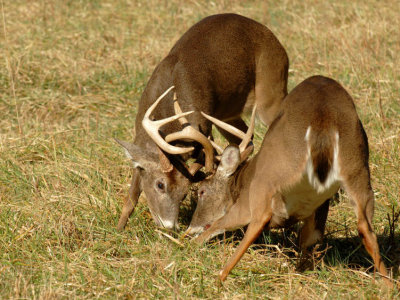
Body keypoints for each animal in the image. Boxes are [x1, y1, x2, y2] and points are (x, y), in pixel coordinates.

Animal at [115, 13, 288, 230]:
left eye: (184, 193)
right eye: (160, 184)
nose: (168, 226)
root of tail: (274, 38)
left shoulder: (204, 130)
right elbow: (132, 193)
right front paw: (118, 229)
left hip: (272, 91)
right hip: (229, 114)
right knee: (247, 139)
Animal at [187, 75, 390, 286]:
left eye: (202, 191)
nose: (190, 228)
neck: (240, 181)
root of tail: (322, 120)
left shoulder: (244, 202)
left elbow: (218, 225)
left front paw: (187, 245)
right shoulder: (318, 207)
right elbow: (309, 240)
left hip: (270, 175)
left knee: (257, 220)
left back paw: (219, 277)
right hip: (357, 165)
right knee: (365, 227)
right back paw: (388, 285)